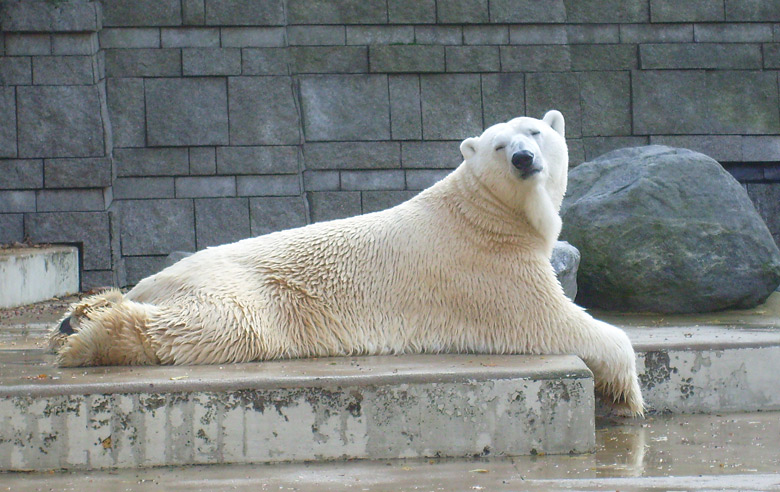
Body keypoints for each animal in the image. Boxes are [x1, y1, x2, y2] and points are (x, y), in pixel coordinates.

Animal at [51, 110, 644, 416]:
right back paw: (88, 339)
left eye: (536, 132)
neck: (482, 212)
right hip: (250, 291)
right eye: (501, 146)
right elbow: (557, 320)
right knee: (222, 325)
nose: (524, 158)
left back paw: (79, 314)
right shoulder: (490, 268)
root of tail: (159, 277)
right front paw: (628, 395)